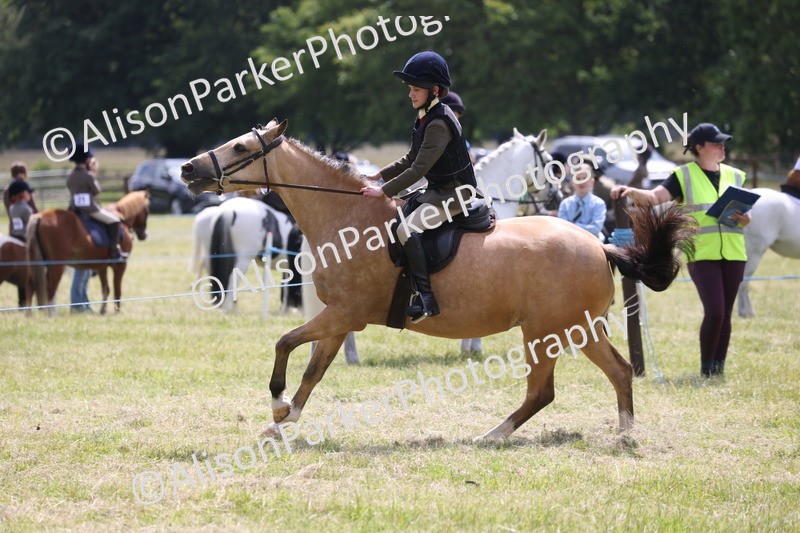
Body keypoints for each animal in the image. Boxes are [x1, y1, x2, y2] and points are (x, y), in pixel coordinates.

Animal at [180, 120, 694, 441]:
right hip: (577, 329)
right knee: (617, 372)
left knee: (544, 391)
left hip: (547, 333)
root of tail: (598, 246)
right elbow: (312, 368)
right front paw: (285, 419)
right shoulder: (341, 319)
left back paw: (492, 435)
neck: (345, 217)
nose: (188, 168)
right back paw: (622, 434)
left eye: (241, 148)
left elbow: (285, 343)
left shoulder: (344, 314)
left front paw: (277, 406)